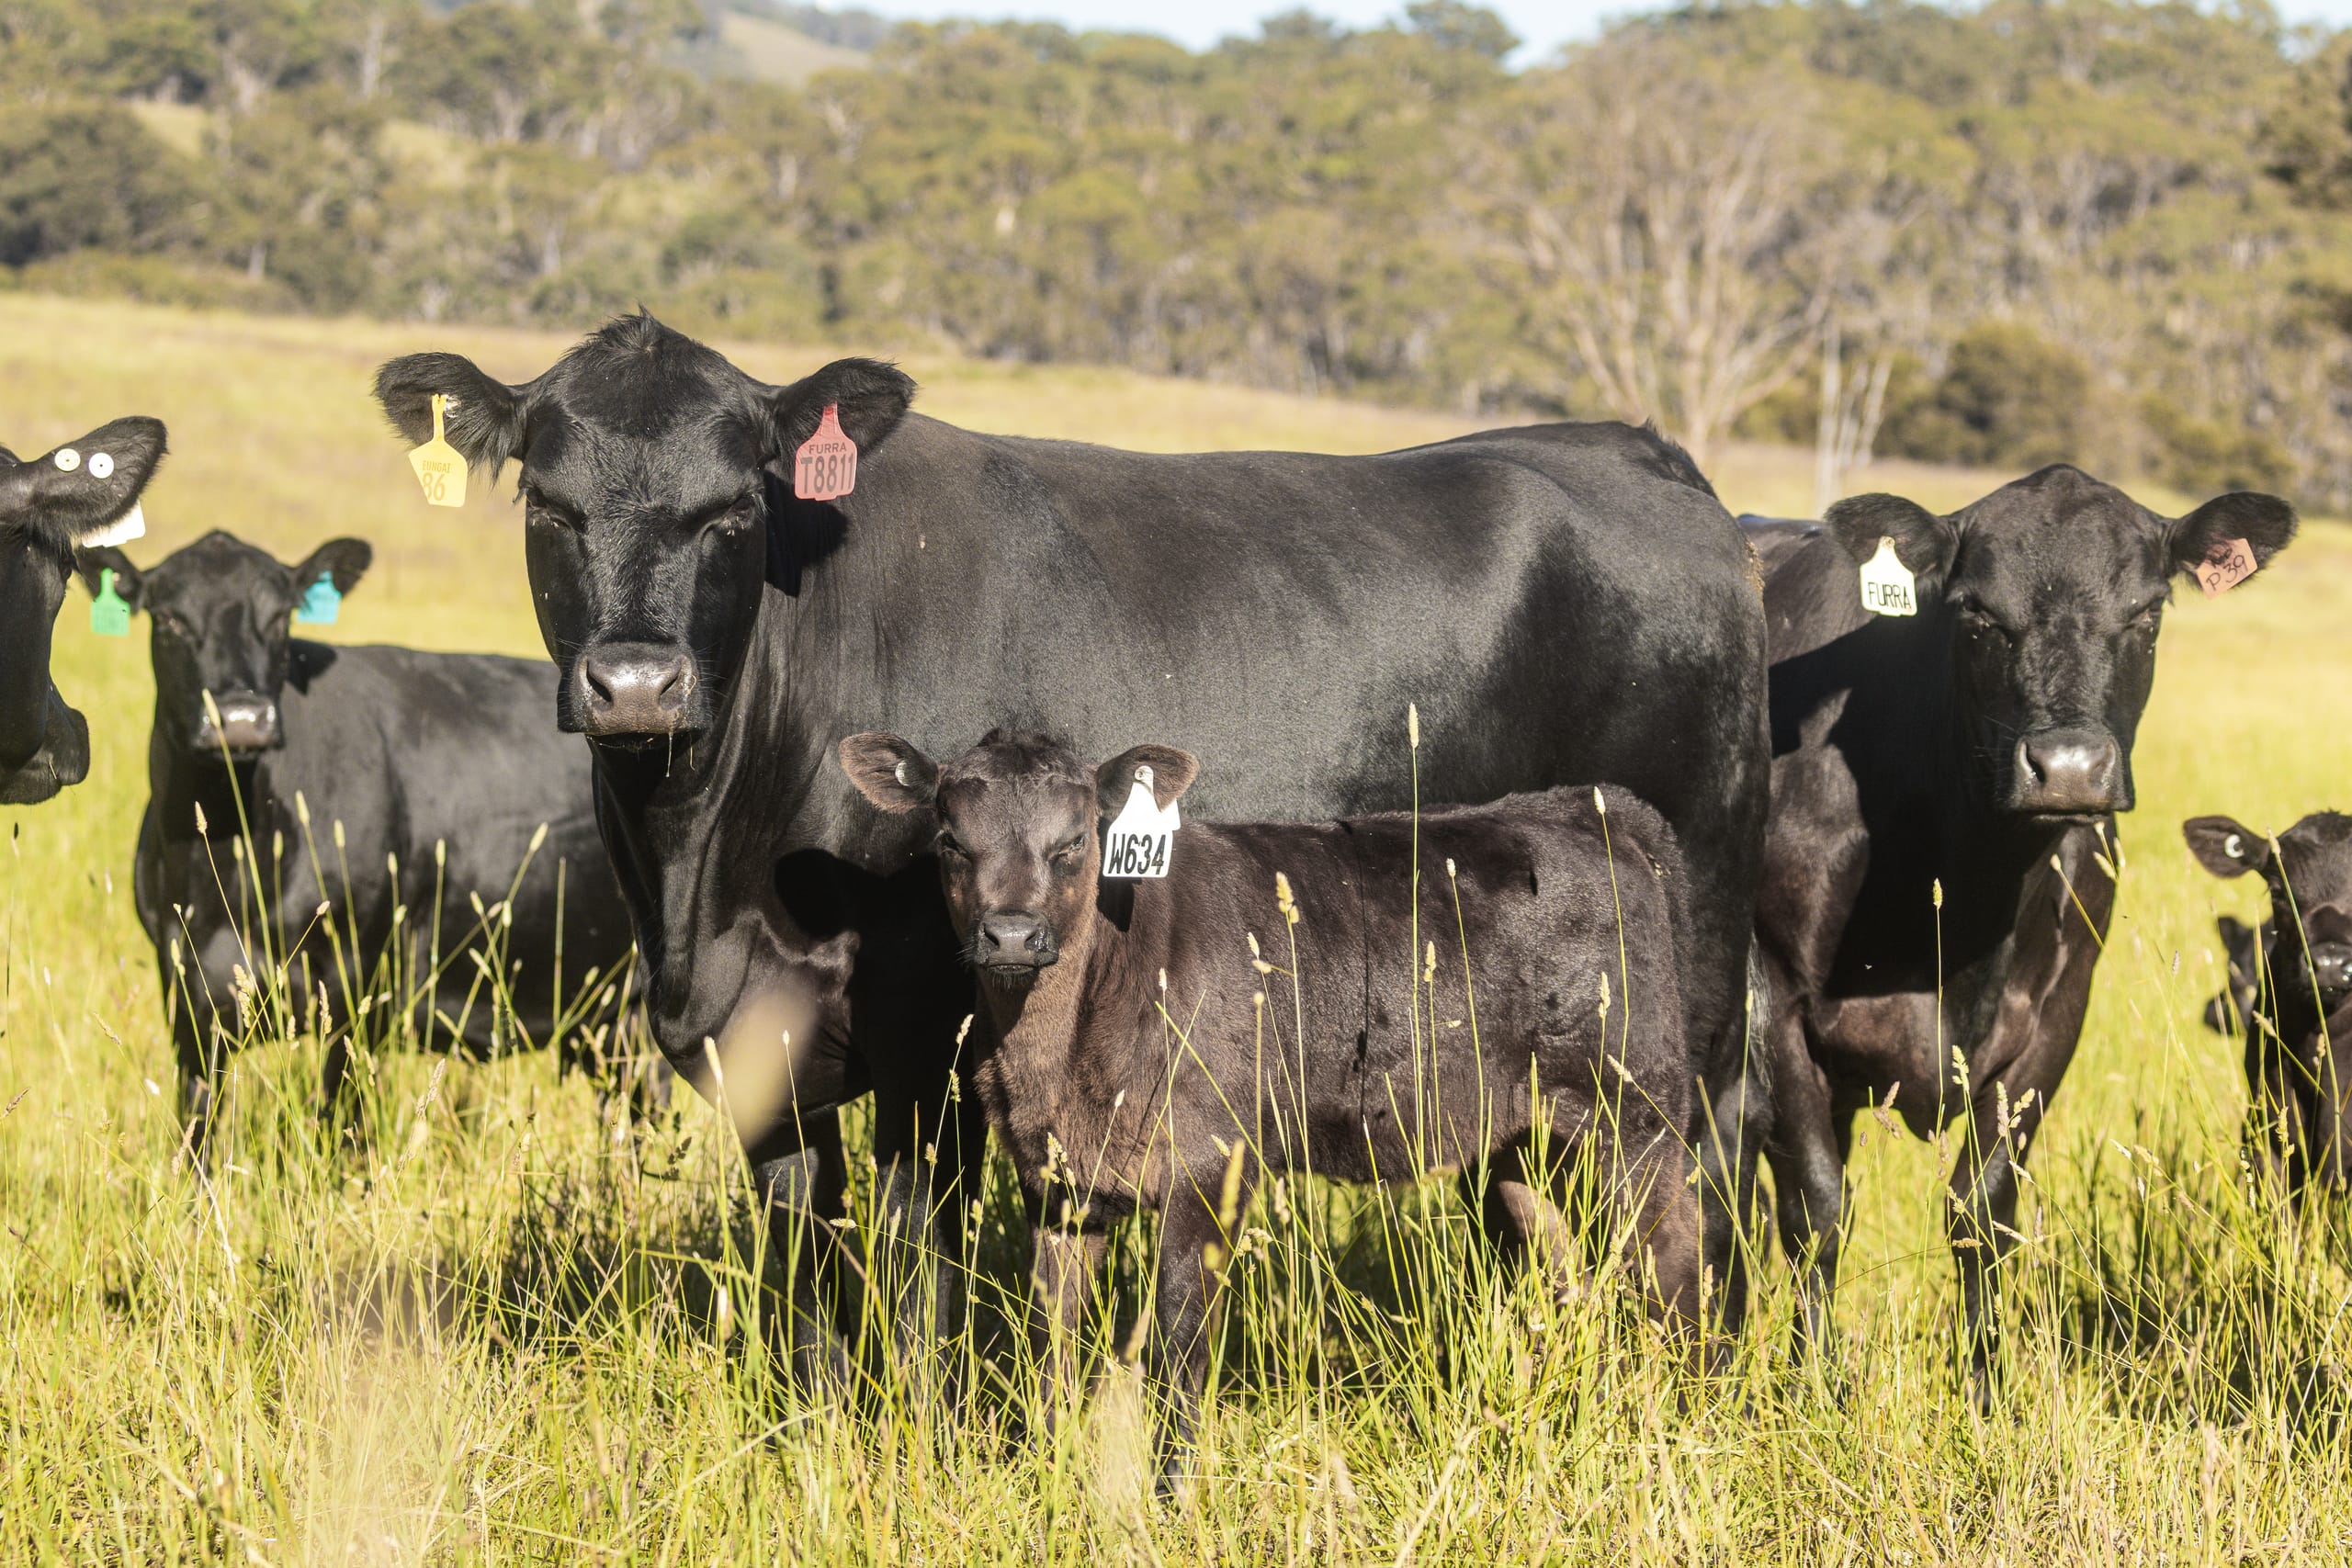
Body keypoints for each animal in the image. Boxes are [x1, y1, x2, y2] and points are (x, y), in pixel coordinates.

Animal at [75, 530, 659, 1155]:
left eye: (280, 616)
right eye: (168, 619)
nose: (241, 718)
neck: (230, 867)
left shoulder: (359, 990)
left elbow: (341, 1132)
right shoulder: (188, 995)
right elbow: (197, 1138)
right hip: (607, 1017)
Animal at [370, 312, 1772, 1387]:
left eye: (729, 512)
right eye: (548, 504)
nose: (635, 684)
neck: (707, 871)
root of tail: (1636, 451)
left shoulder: (934, 1035)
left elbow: (918, 1271)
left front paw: (922, 1440)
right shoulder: (758, 1047)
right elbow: (802, 1270)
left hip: (1694, 995)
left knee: (1706, 1188)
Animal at [837, 728, 1703, 1484]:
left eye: (1076, 840)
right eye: (950, 839)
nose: (1013, 935)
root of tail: (1587, 807)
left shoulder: (1212, 1164)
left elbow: (1180, 1343)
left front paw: (1172, 1492)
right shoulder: (1058, 1181)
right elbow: (1052, 1337)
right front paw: (1048, 1475)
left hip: (1634, 1111)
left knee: (1673, 1259)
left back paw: (1687, 1420)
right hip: (1524, 1141)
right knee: (1562, 1265)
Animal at [1741, 465, 2296, 1402]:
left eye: (2148, 612)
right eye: (1974, 614)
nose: (2068, 768)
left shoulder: (2056, 1017)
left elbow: (1983, 1207)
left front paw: (1984, 1381)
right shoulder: (1773, 995)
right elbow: (1815, 1205)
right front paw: (1815, 1384)